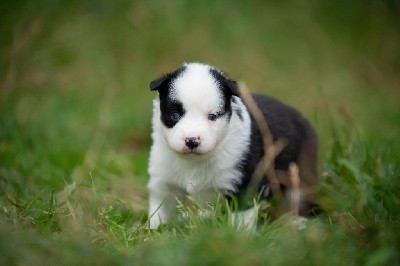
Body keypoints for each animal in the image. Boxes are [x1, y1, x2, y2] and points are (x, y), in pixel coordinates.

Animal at [147, 62, 318, 229]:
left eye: (212, 116)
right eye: (174, 115)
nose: (192, 140)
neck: (194, 162)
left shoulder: (245, 182)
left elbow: (241, 217)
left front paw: (238, 234)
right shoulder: (163, 180)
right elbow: (160, 209)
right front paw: (154, 231)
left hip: (300, 177)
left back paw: (297, 222)